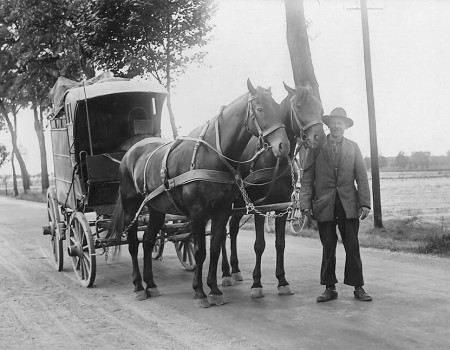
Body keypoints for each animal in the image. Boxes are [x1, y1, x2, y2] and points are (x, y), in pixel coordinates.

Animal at [107, 79, 290, 306]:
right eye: (260, 109)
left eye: (278, 108)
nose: (283, 146)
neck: (212, 155)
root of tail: (130, 153)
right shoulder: (197, 214)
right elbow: (200, 251)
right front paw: (200, 291)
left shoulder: (221, 212)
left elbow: (214, 249)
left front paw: (214, 289)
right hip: (131, 207)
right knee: (133, 244)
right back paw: (139, 286)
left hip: (157, 209)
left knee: (148, 242)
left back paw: (151, 284)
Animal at [221, 83, 324, 296]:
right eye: (299, 106)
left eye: (320, 108)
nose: (320, 138)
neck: (273, 159)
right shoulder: (260, 207)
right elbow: (259, 245)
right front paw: (257, 284)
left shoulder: (280, 207)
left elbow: (280, 244)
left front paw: (282, 281)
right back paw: (226, 273)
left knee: (233, 229)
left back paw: (235, 269)